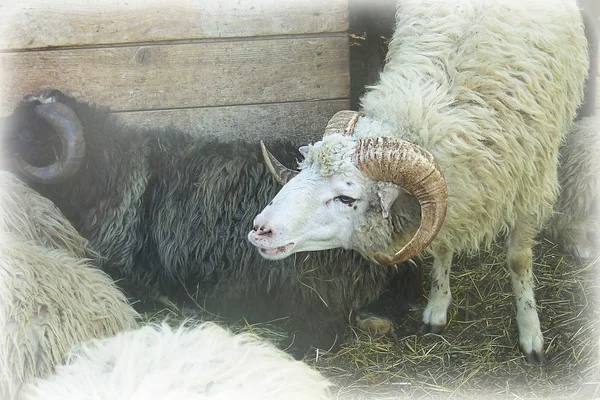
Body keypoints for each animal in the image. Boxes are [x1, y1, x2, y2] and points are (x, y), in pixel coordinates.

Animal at [247, 0, 584, 364]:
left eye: (346, 198)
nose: (259, 230)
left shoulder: (532, 189)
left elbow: (519, 261)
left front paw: (530, 331)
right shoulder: (449, 205)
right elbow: (442, 248)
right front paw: (437, 307)